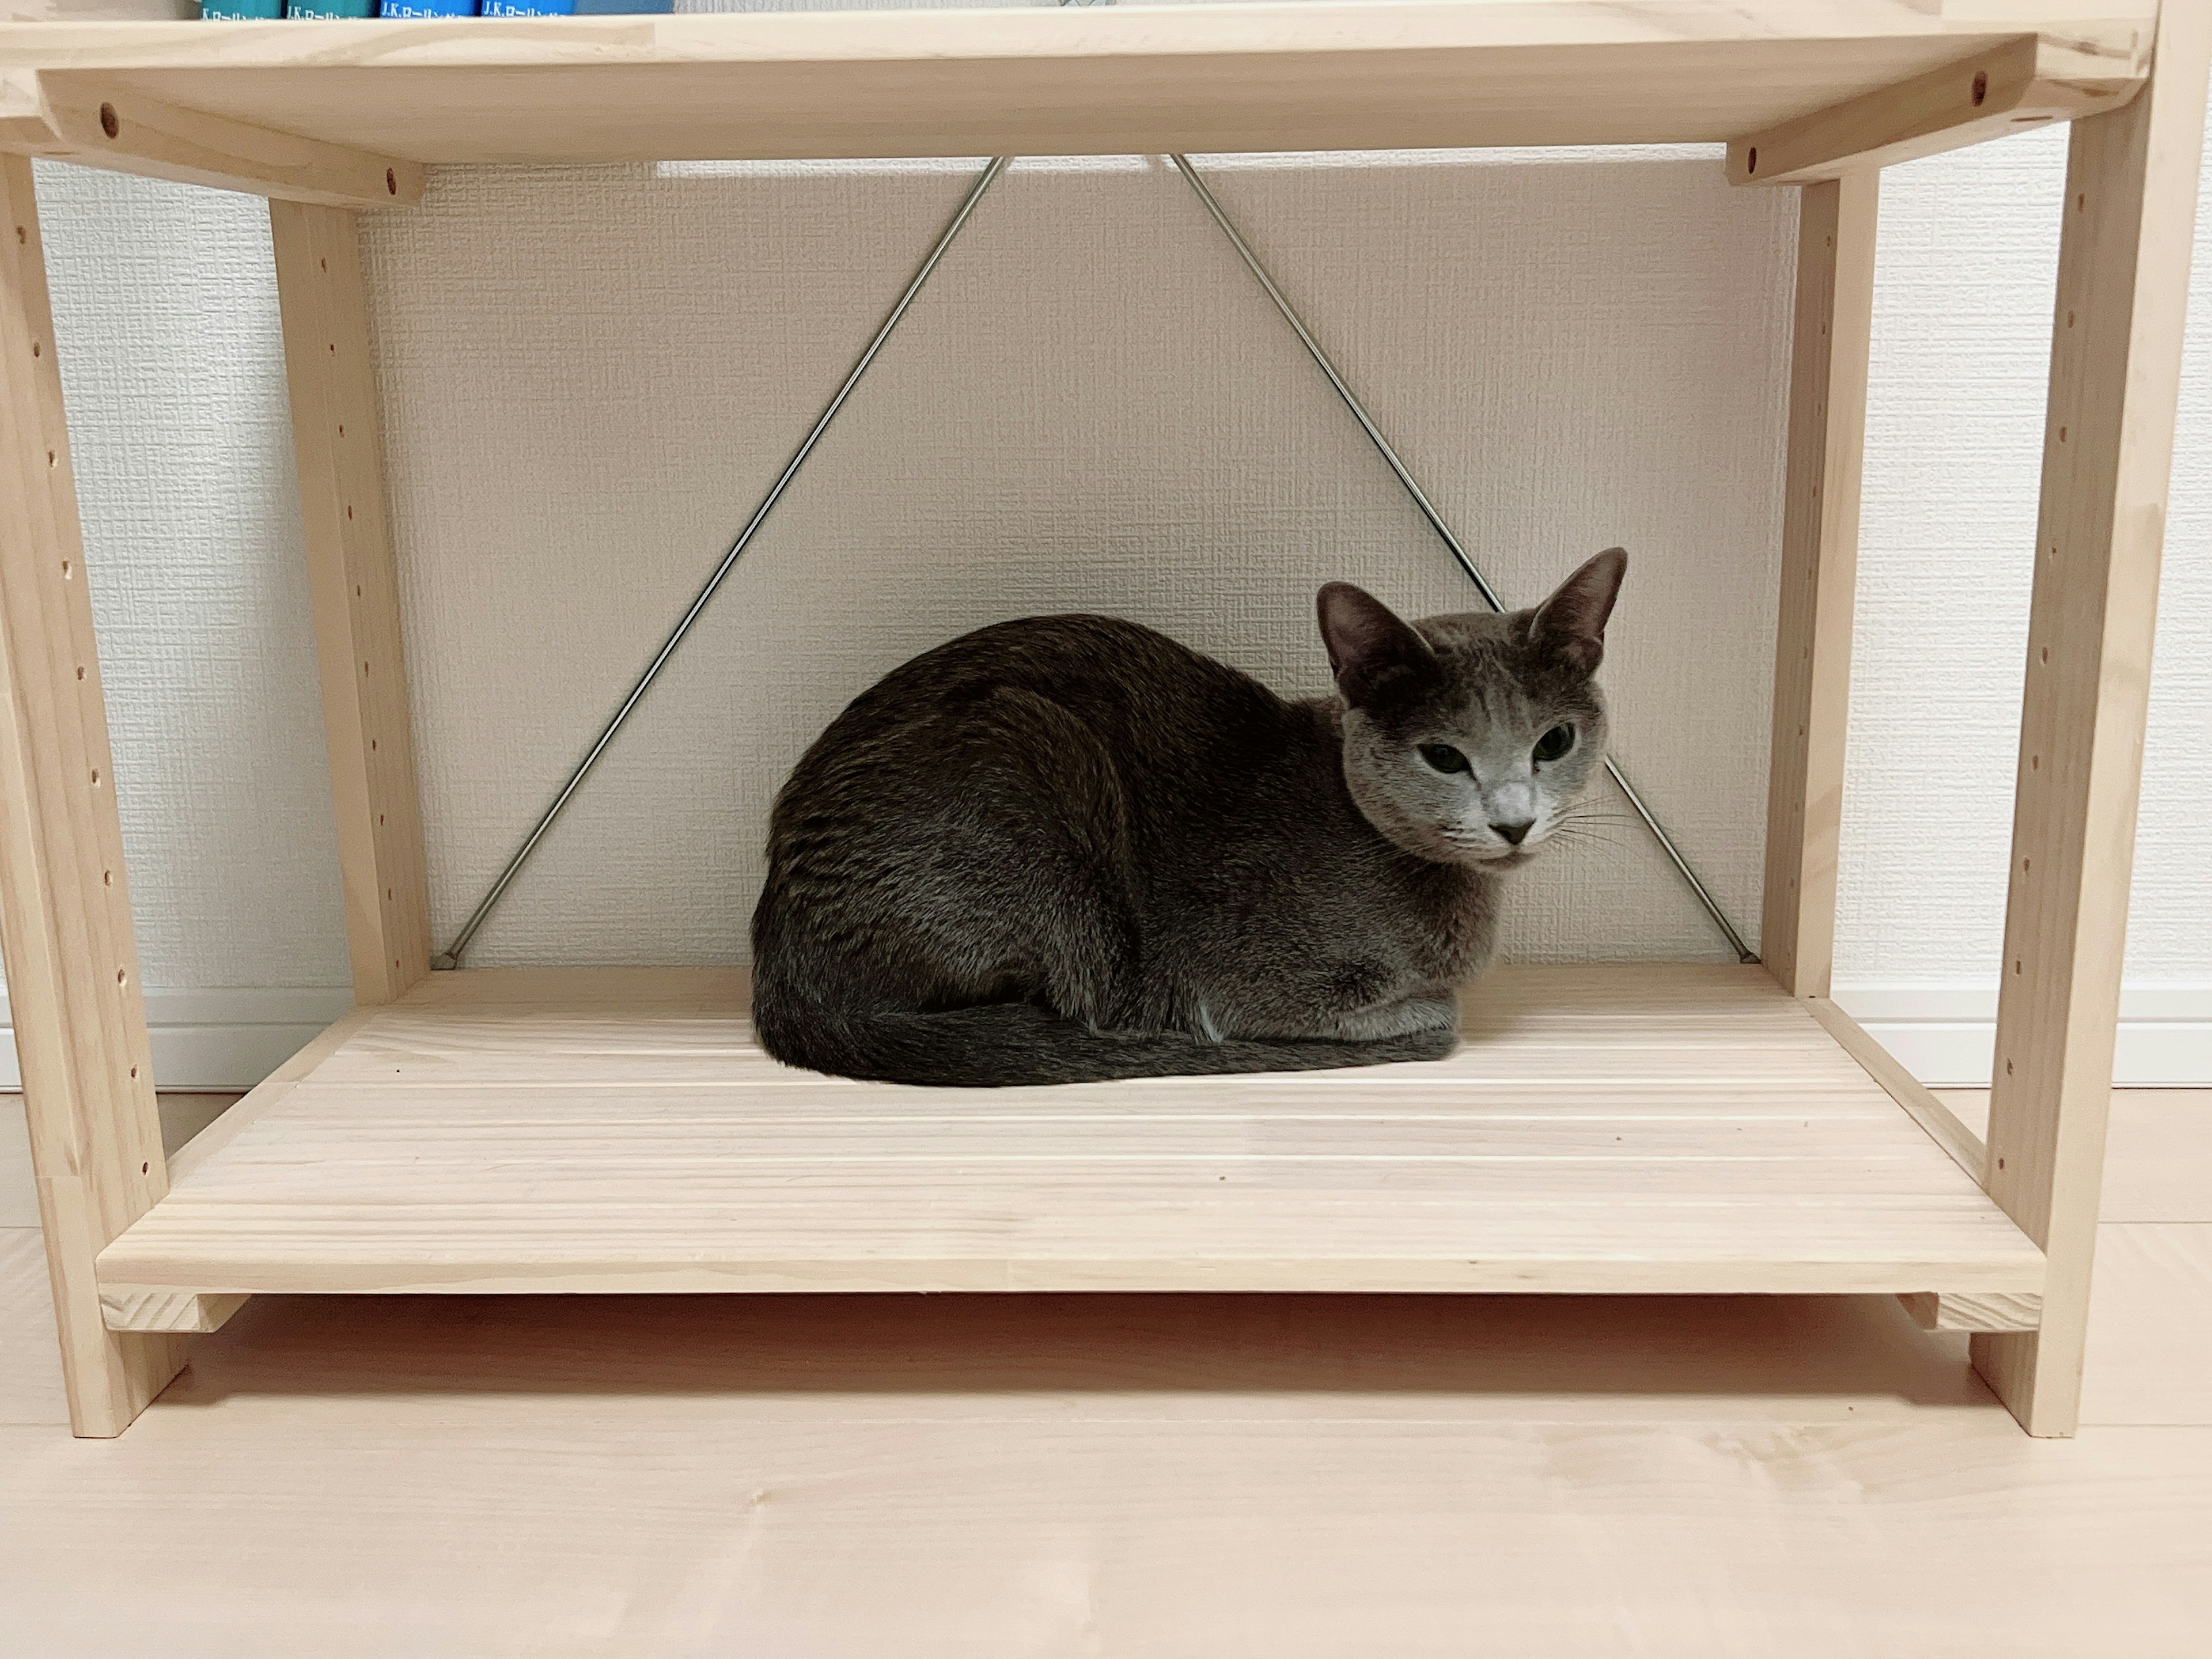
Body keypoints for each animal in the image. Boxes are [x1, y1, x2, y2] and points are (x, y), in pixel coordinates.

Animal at [747, 548, 1628, 1092]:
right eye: (1444, 757)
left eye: (1554, 742)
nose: (1513, 822)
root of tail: (776, 965)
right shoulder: (1250, 987)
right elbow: (1431, 1012)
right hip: (1034, 762)